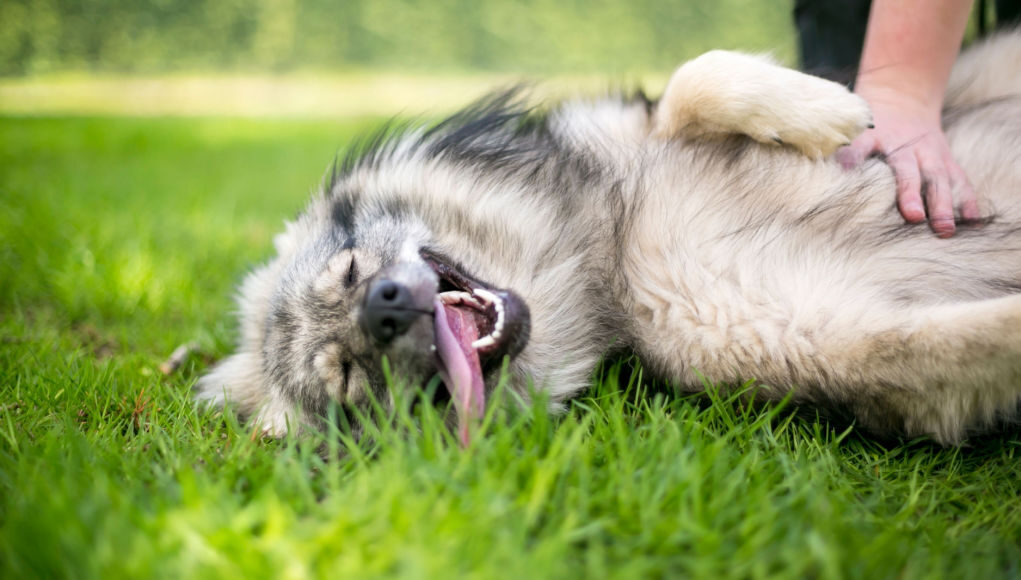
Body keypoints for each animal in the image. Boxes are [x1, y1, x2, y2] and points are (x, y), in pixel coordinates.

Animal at [197, 30, 1021, 443]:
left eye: (347, 269)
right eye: (347, 374)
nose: (386, 307)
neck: (605, 250)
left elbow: (694, 79)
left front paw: (825, 108)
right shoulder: (834, 338)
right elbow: (961, 343)